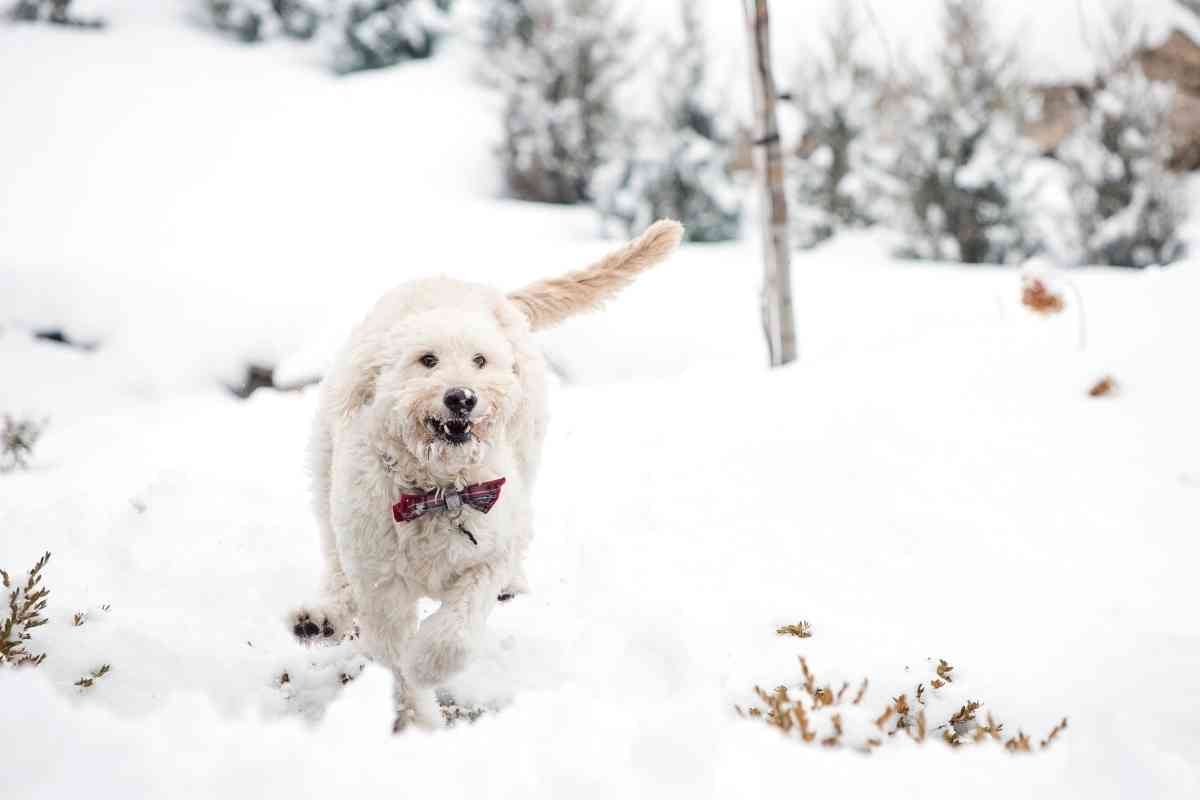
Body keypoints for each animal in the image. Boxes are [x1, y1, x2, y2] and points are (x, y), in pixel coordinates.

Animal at [290, 220, 681, 734]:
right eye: (427, 360)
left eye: (479, 360)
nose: (462, 398)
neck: (440, 490)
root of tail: (483, 290)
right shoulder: (380, 581)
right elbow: (393, 652)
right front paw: (417, 717)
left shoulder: (486, 556)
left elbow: (457, 630)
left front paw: (428, 664)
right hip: (326, 478)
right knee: (334, 564)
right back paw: (322, 617)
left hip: (527, 452)